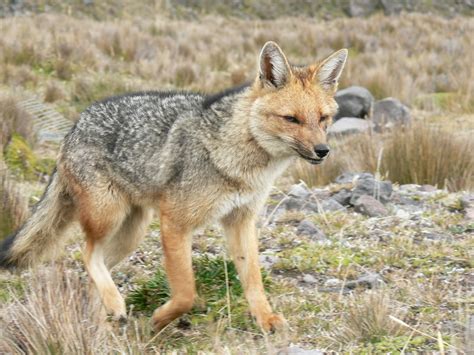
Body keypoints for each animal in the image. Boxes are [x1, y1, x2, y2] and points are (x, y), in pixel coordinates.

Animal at [0, 42, 348, 334]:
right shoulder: (175, 223)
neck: (238, 158)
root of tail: (75, 125)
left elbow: (253, 279)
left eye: (323, 118)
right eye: (291, 119)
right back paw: (115, 304)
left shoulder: (241, 220)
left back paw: (101, 323)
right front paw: (160, 317)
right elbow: (186, 292)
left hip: (132, 232)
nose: (322, 151)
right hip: (107, 217)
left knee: (93, 273)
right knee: (86, 254)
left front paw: (265, 318)